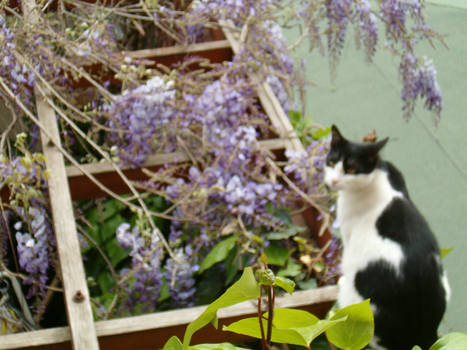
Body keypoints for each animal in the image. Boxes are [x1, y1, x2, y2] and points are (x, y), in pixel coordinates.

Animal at [326, 126, 450, 350]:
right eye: (331, 162)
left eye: (351, 169)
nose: (333, 181)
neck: (376, 178)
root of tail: (423, 332)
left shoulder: (348, 234)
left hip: (355, 302)